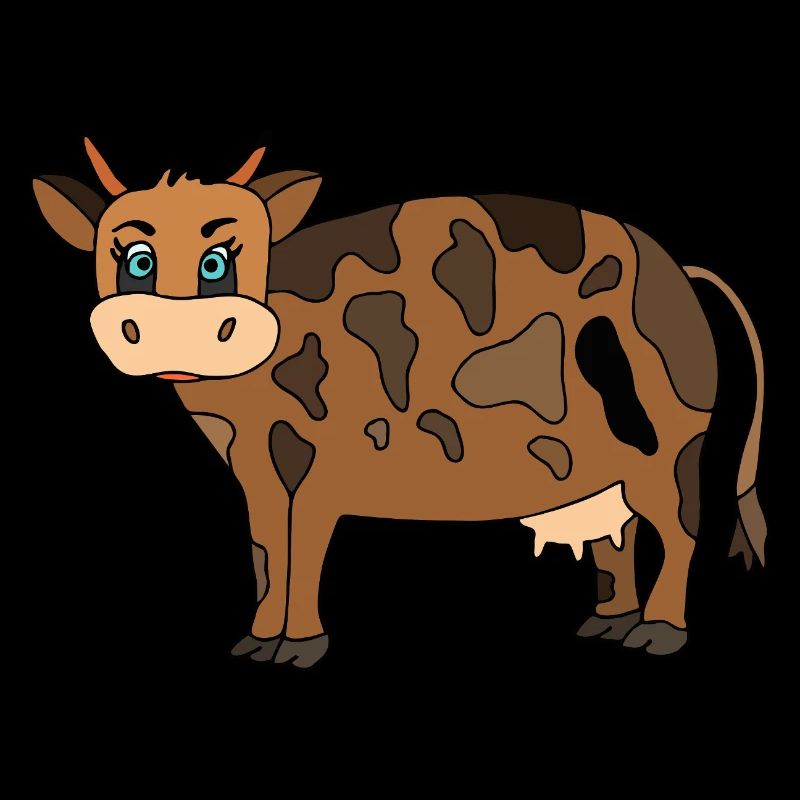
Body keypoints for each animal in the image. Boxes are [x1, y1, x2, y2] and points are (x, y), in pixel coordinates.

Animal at [32, 140, 766, 667]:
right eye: (136, 260)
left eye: (218, 261)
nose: (175, 331)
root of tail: (682, 272)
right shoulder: (254, 467)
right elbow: (266, 548)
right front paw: (257, 642)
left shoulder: (326, 462)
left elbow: (303, 547)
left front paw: (297, 649)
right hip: (612, 460)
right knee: (623, 531)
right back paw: (605, 627)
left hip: (670, 441)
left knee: (679, 527)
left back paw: (657, 635)